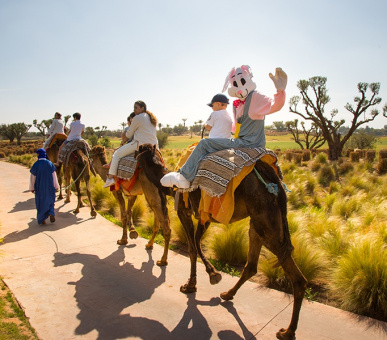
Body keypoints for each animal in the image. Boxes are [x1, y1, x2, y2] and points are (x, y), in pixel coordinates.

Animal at [136, 143, 310, 340]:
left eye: (138, 153)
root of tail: (277, 183)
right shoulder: (205, 216)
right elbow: (197, 243)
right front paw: (208, 276)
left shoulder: (184, 210)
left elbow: (192, 248)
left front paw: (194, 283)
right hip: (257, 223)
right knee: (251, 265)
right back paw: (228, 294)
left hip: (266, 222)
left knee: (296, 276)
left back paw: (287, 331)